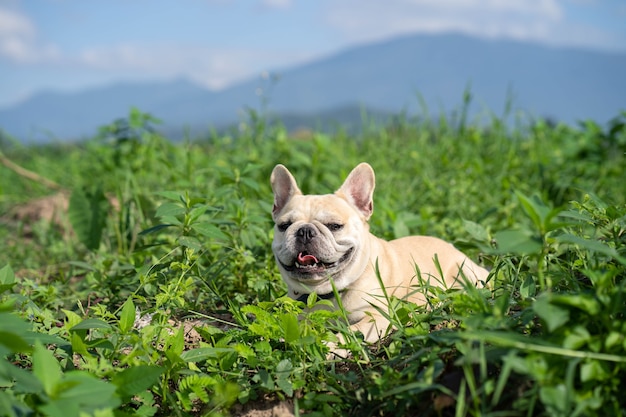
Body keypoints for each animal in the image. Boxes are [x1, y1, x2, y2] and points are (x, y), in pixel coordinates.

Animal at [268, 162, 488, 344]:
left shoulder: (376, 318)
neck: (326, 291)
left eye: (334, 226)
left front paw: (330, 347)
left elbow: (349, 335)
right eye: (284, 226)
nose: (304, 231)